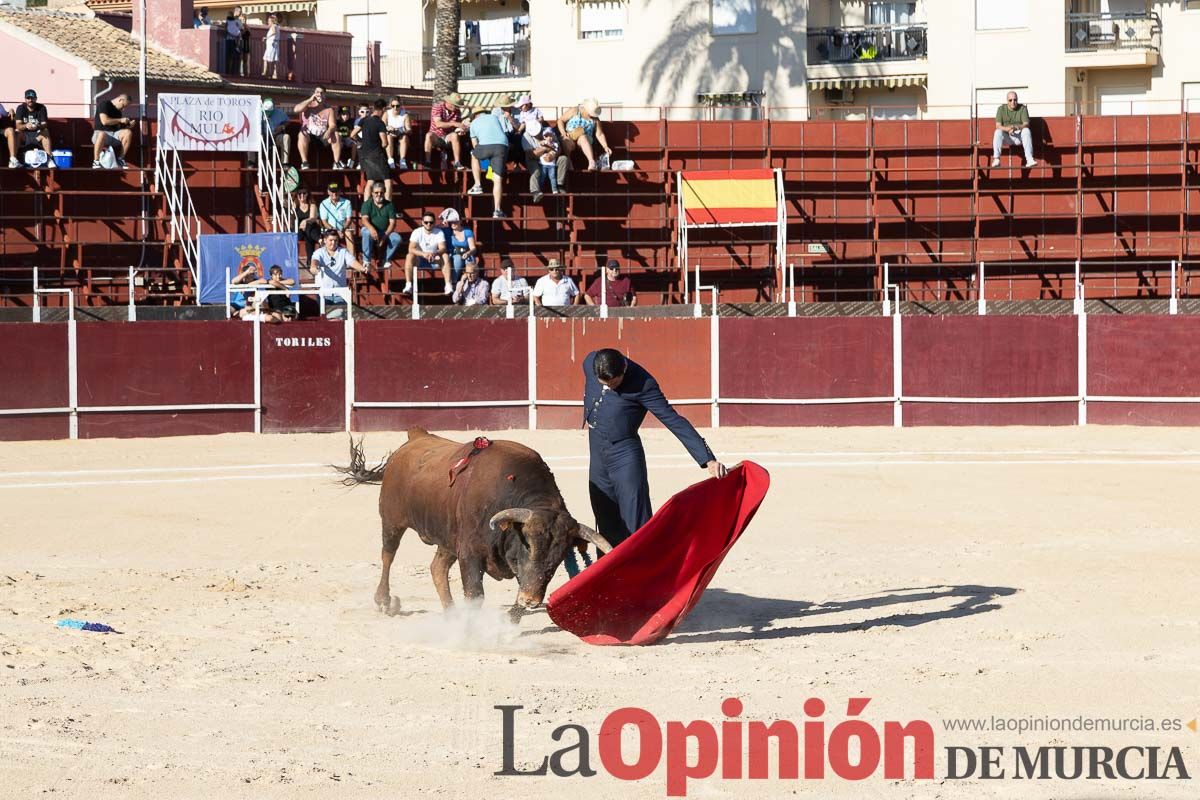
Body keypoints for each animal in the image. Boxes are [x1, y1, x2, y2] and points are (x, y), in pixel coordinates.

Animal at [336, 429, 609, 618]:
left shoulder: (520, 571)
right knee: (388, 556)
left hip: (448, 538)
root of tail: (416, 436)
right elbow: (475, 595)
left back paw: (451, 615)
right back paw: (384, 600)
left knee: (437, 568)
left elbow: (516, 599)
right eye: (529, 545)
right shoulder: (470, 554)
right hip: (392, 522)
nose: (532, 601)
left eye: (560, 556)